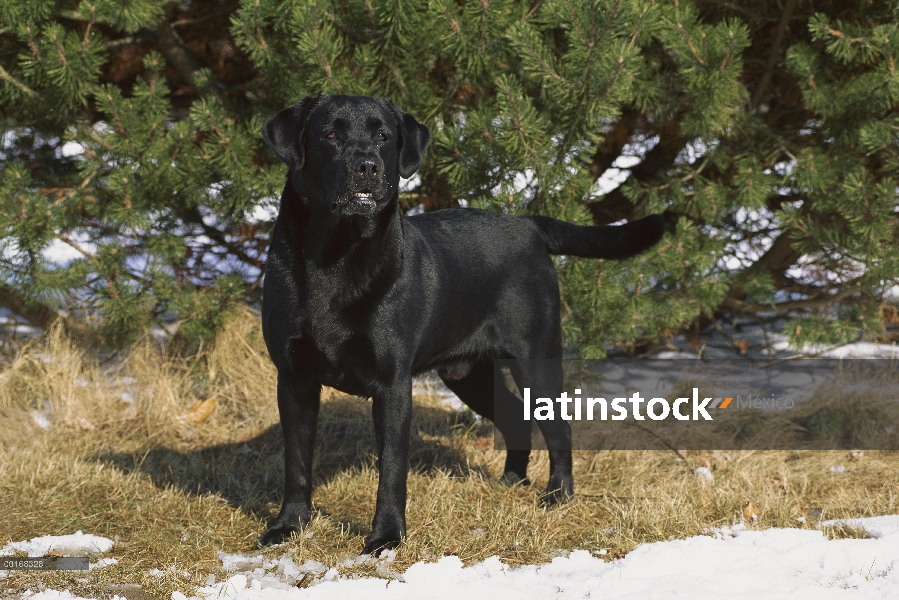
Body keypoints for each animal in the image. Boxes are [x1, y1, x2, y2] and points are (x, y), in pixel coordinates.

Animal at [256, 95, 664, 552]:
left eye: (383, 136)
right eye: (329, 134)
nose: (367, 166)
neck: (335, 254)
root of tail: (528, 224)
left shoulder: (392, 384)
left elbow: (391, 469)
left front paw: (385, 538)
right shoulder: (295, 378)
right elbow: (296, 463)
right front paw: (288, 526)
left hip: (536, 358)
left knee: (559, 428)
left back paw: (558, 495)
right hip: (468, 373)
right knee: (515, 417)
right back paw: (510, 482)